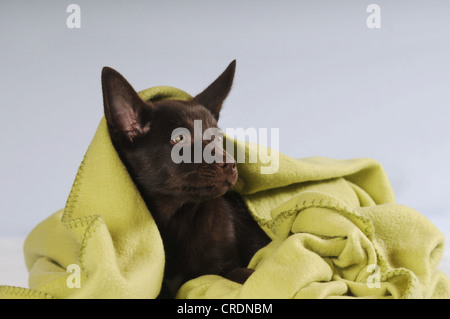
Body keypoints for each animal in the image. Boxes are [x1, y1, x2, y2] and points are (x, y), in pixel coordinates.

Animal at [102, 61, 270, 298]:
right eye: (180, 139)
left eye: (217, 137)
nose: (231, 163)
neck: (177, 217)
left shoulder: (219, 268)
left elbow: (235, 273)